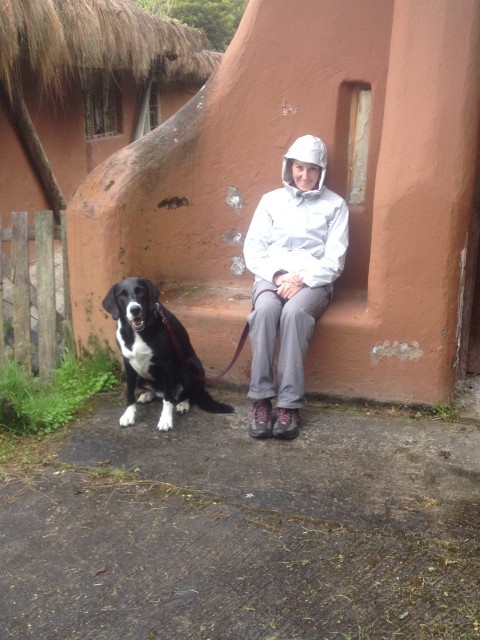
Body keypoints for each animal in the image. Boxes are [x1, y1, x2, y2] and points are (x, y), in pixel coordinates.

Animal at [102, 277, 234, 431]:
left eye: (140, 291)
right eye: (121, 295)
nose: (135, 309)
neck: (137, 332)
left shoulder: (166, 364)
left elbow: (167, 399)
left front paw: (165, 419)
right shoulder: (128, 365)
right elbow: (129, 393)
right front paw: (128, 415)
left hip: (190, 371)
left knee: (190, 395)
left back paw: (183, 404)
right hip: (140, 375)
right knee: (159, 392)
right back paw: (148, 395)